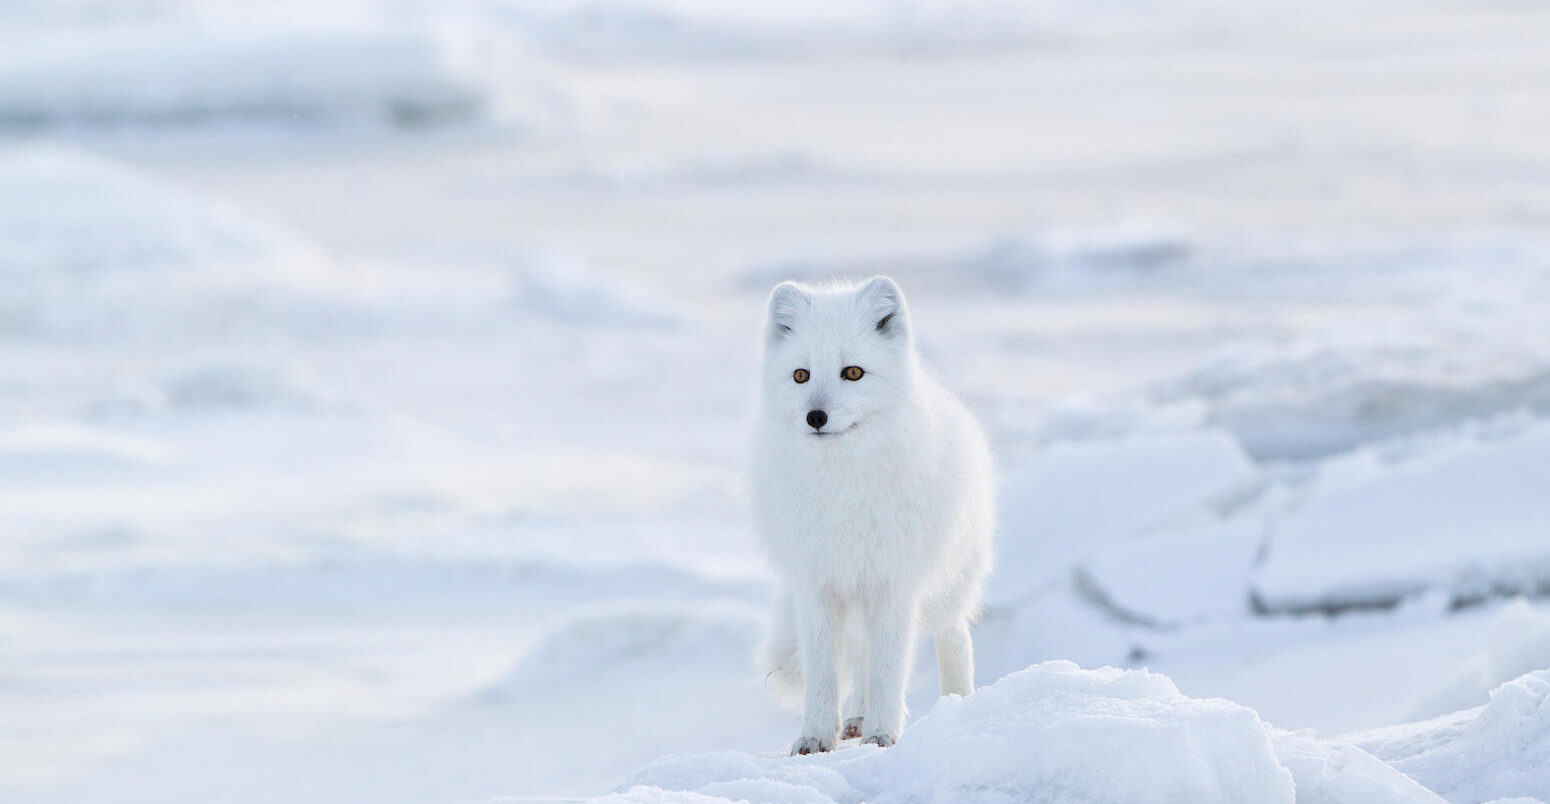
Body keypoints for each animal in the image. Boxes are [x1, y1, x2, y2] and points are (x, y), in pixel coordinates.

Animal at [750, 277, 992, 755]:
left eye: (853, 373)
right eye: (801, 375)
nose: (816, 416)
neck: (844, 486)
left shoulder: (894, 584)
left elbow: (887, 669)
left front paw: (884, 735)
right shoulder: (818, 585)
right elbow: (824, 673)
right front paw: (814, 738)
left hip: (946, 588)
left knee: (954, 636)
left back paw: (957, 705)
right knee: (860, 658)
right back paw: (855, 719)